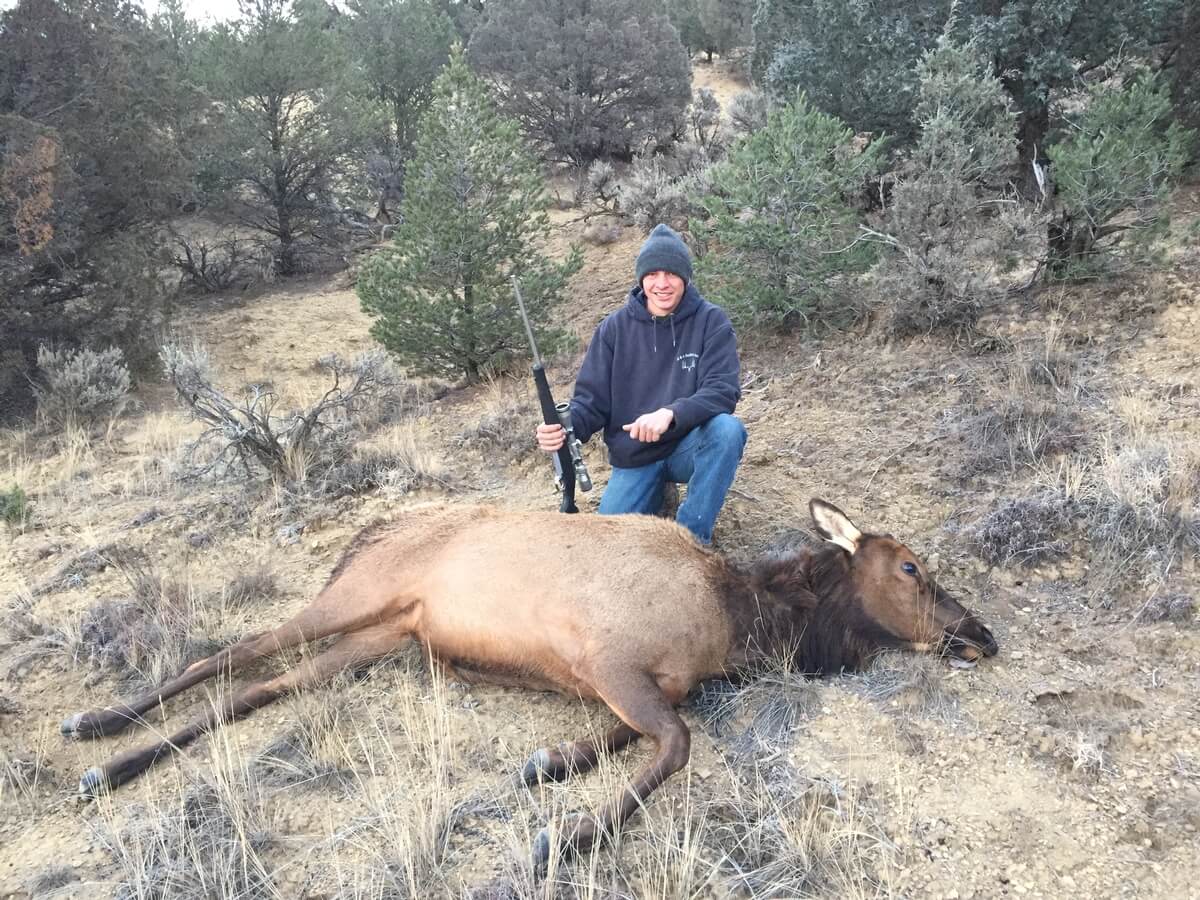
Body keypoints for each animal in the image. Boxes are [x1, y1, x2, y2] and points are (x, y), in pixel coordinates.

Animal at [61, 499, 998, 870]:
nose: (982, 633)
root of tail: (368, 532)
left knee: (259, 688)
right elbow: (676, 744)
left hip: (382, 634)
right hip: (352, 596)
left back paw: (116, 762)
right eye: (912, 568)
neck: (738, 624)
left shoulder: (631, 683)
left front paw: (549, 765)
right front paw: (569, 836)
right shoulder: (612, 660)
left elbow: (638, 735)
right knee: (225, 654)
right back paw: (96, 736)